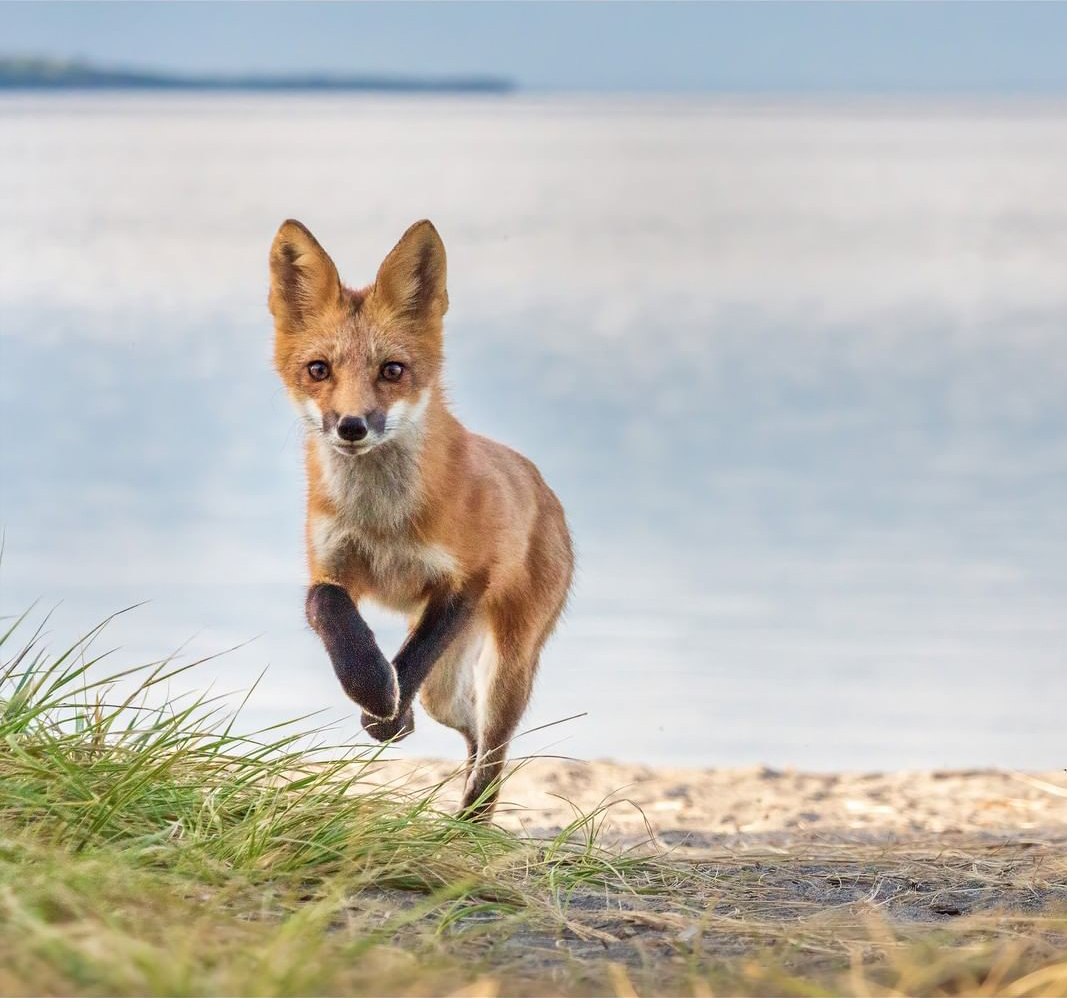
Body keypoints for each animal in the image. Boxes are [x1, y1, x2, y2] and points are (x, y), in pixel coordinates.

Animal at [271, 218, 576, 819]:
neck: (383, 522)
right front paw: (373, 689)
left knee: (493, 752)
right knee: (467, 728)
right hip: (448, 694)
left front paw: (382, 712)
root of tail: (541, 483)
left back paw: (470, 823)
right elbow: (329, 612)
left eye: (393, 370)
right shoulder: (333, 567)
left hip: (508, 668)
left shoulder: (466, 581)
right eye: (319, 369)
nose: (351, 426)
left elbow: (414, 656)